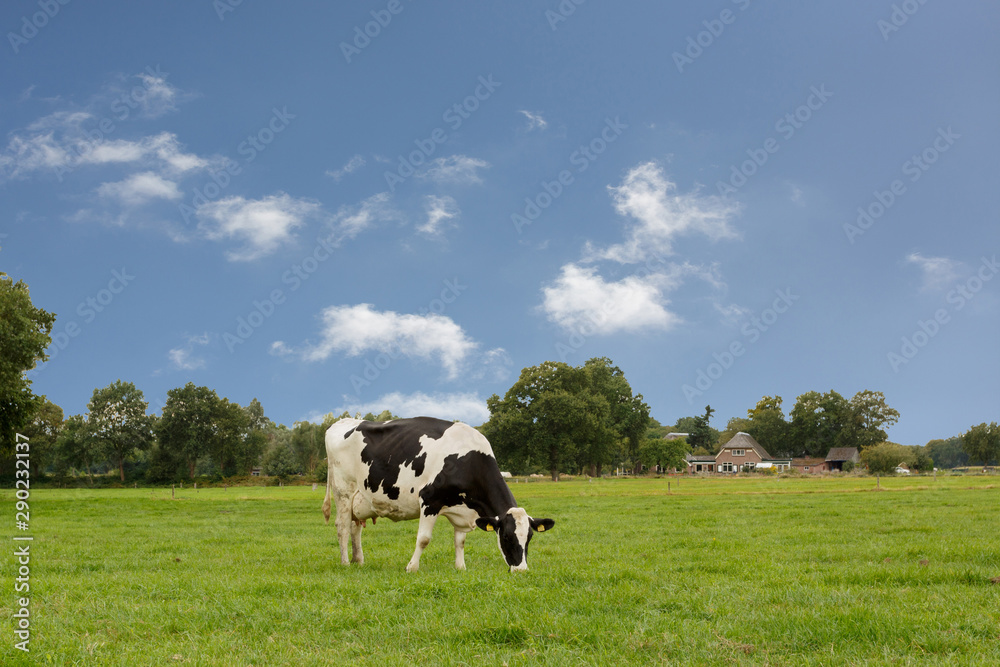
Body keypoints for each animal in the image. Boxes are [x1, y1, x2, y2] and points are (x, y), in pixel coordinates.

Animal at [322, 416, 554, 572]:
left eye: (530, 537)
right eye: (506, 536)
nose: (521, 570)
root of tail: (342, 421)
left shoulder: (462, 510)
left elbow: (460, 541)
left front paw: (460, 567)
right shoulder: (429, 500)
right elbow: (424, 539)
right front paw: (411, 567)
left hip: (360, 499)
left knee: (355, 528)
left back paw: (358, 560)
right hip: (343, 491)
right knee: (342, 526)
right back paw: (345, 562)